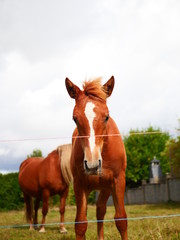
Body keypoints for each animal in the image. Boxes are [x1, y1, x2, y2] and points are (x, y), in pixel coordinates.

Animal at [65, 77, 127, 240]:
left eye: (106, 116)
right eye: (74, 118)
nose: (92, 165)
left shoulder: (118, 181)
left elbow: (121, 220)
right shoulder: (79, 184)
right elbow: (80, 224)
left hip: (106, 188)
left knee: (100, 210)